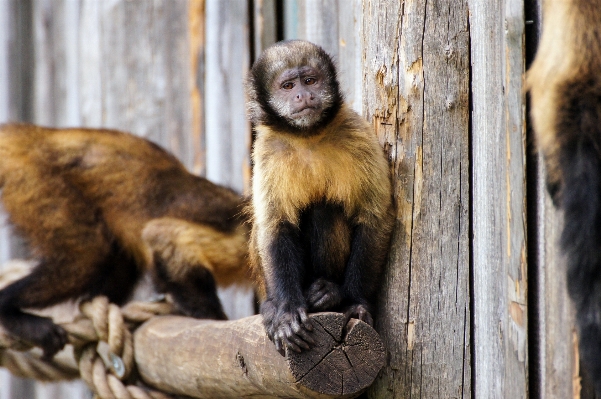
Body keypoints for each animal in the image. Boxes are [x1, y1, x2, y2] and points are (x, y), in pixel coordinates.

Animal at [0, 124, 250, 360]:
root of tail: (36, 134)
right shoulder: (244, 241)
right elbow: (161, 234)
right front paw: (212, 318)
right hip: (31, 175)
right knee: (88, 256)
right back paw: (8, 309)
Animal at [245, 39, 394, 354]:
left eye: (311, 80)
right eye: (288, 86)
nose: (303, 94)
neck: (308, 137)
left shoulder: (357, 133)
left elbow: (374, 217)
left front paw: (354, 302)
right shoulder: (267, 149)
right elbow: (275, 227)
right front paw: (286, 312)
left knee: (324, 210)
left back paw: (329, 292)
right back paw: (273, 305)